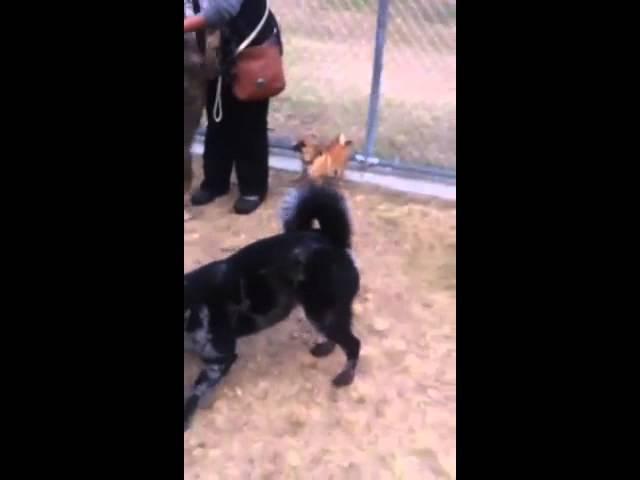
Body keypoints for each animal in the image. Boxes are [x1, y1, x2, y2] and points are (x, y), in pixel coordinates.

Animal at [184, 184, 360, 432]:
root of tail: (332, 240)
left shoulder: (220, 358)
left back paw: (345, 377)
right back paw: (325, 348)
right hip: (326, 314)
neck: (190, 304)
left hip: (322, 312)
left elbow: (195, 391)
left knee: (354, 344)